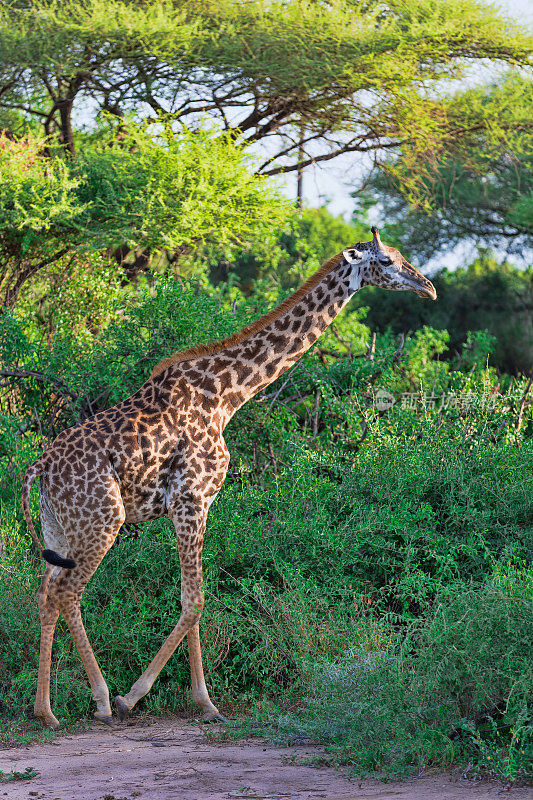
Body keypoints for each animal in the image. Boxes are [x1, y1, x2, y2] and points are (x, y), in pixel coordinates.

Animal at [21, 227, 436, 732]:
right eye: (388, 261)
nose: (429, 288)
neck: (228, 394)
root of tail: (38, 470)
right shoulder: (190, 499)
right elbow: (195, 600)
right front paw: (144, 697)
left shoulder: (197, 504)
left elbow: (194, 600)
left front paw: (201, 700)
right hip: (103, 520)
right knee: (68, 593)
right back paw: (100, 699)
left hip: (60, 528)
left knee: (46, 593)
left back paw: (45, 711)